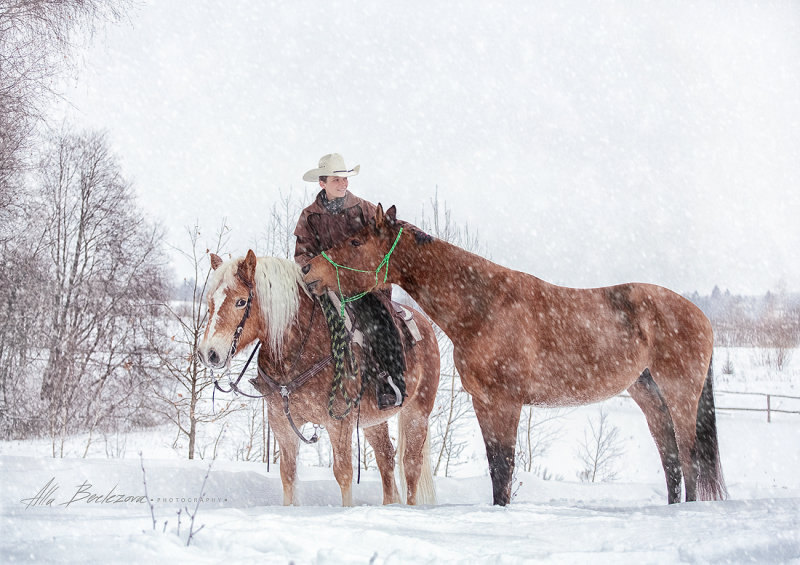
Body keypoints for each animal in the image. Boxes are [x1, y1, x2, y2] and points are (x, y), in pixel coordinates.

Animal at [198, 249, 440, 504]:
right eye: (210, 302)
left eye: (241, 301)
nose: (208, 353)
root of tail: (424, 322)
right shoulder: (281, 424)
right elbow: (288, 474)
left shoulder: (339, 422)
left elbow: (344, 473)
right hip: (373, 420)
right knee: (385, 457)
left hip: (417, 412)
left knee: (411, 464)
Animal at [304, 205, 728, 504]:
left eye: (356, 242)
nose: (310, 269)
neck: (485, 305)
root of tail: (700, 315)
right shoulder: (485, 403)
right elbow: (496, 469)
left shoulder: (506, 403)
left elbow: (505, 468)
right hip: (648, 394)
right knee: (671, 460)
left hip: (680, 394)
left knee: (688, 457)